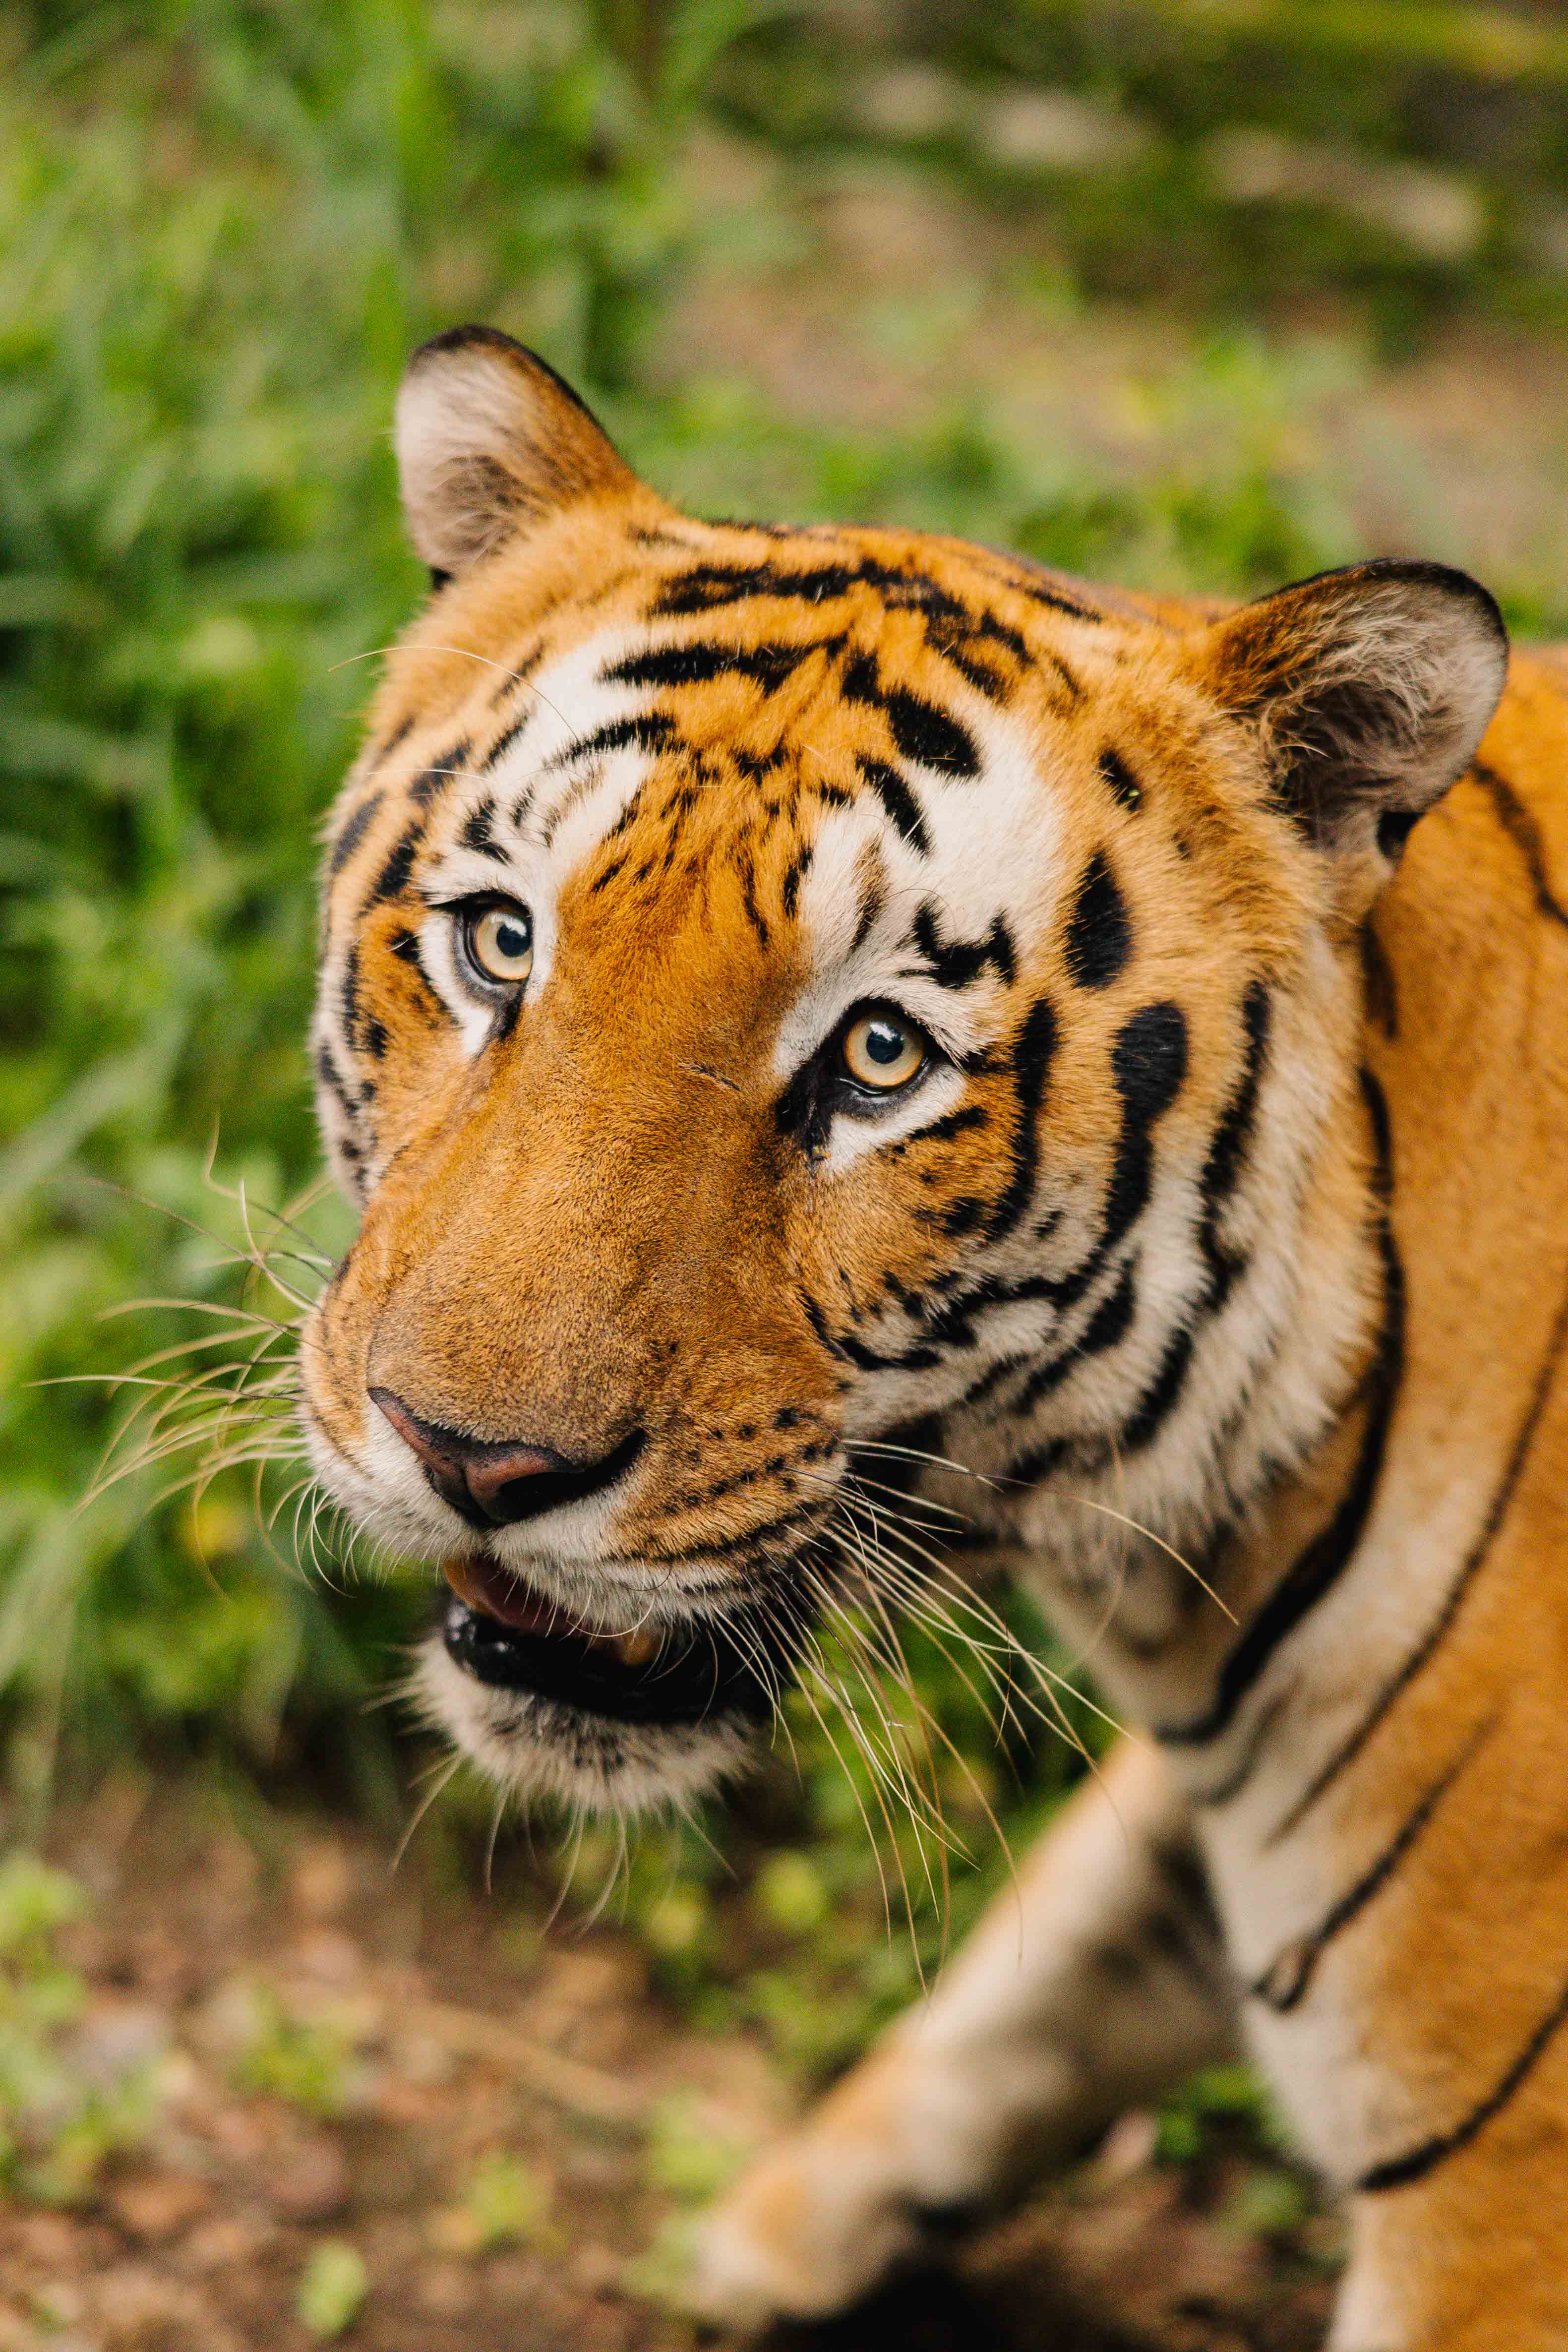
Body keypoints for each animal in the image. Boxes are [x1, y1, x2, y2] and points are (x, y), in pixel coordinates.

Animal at [297, 324, 1568, 2350]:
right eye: (499, 943)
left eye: (879, 1056)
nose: (473, 1461)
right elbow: (1047, 1964)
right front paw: (771, 2233)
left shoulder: (1503, 2207)